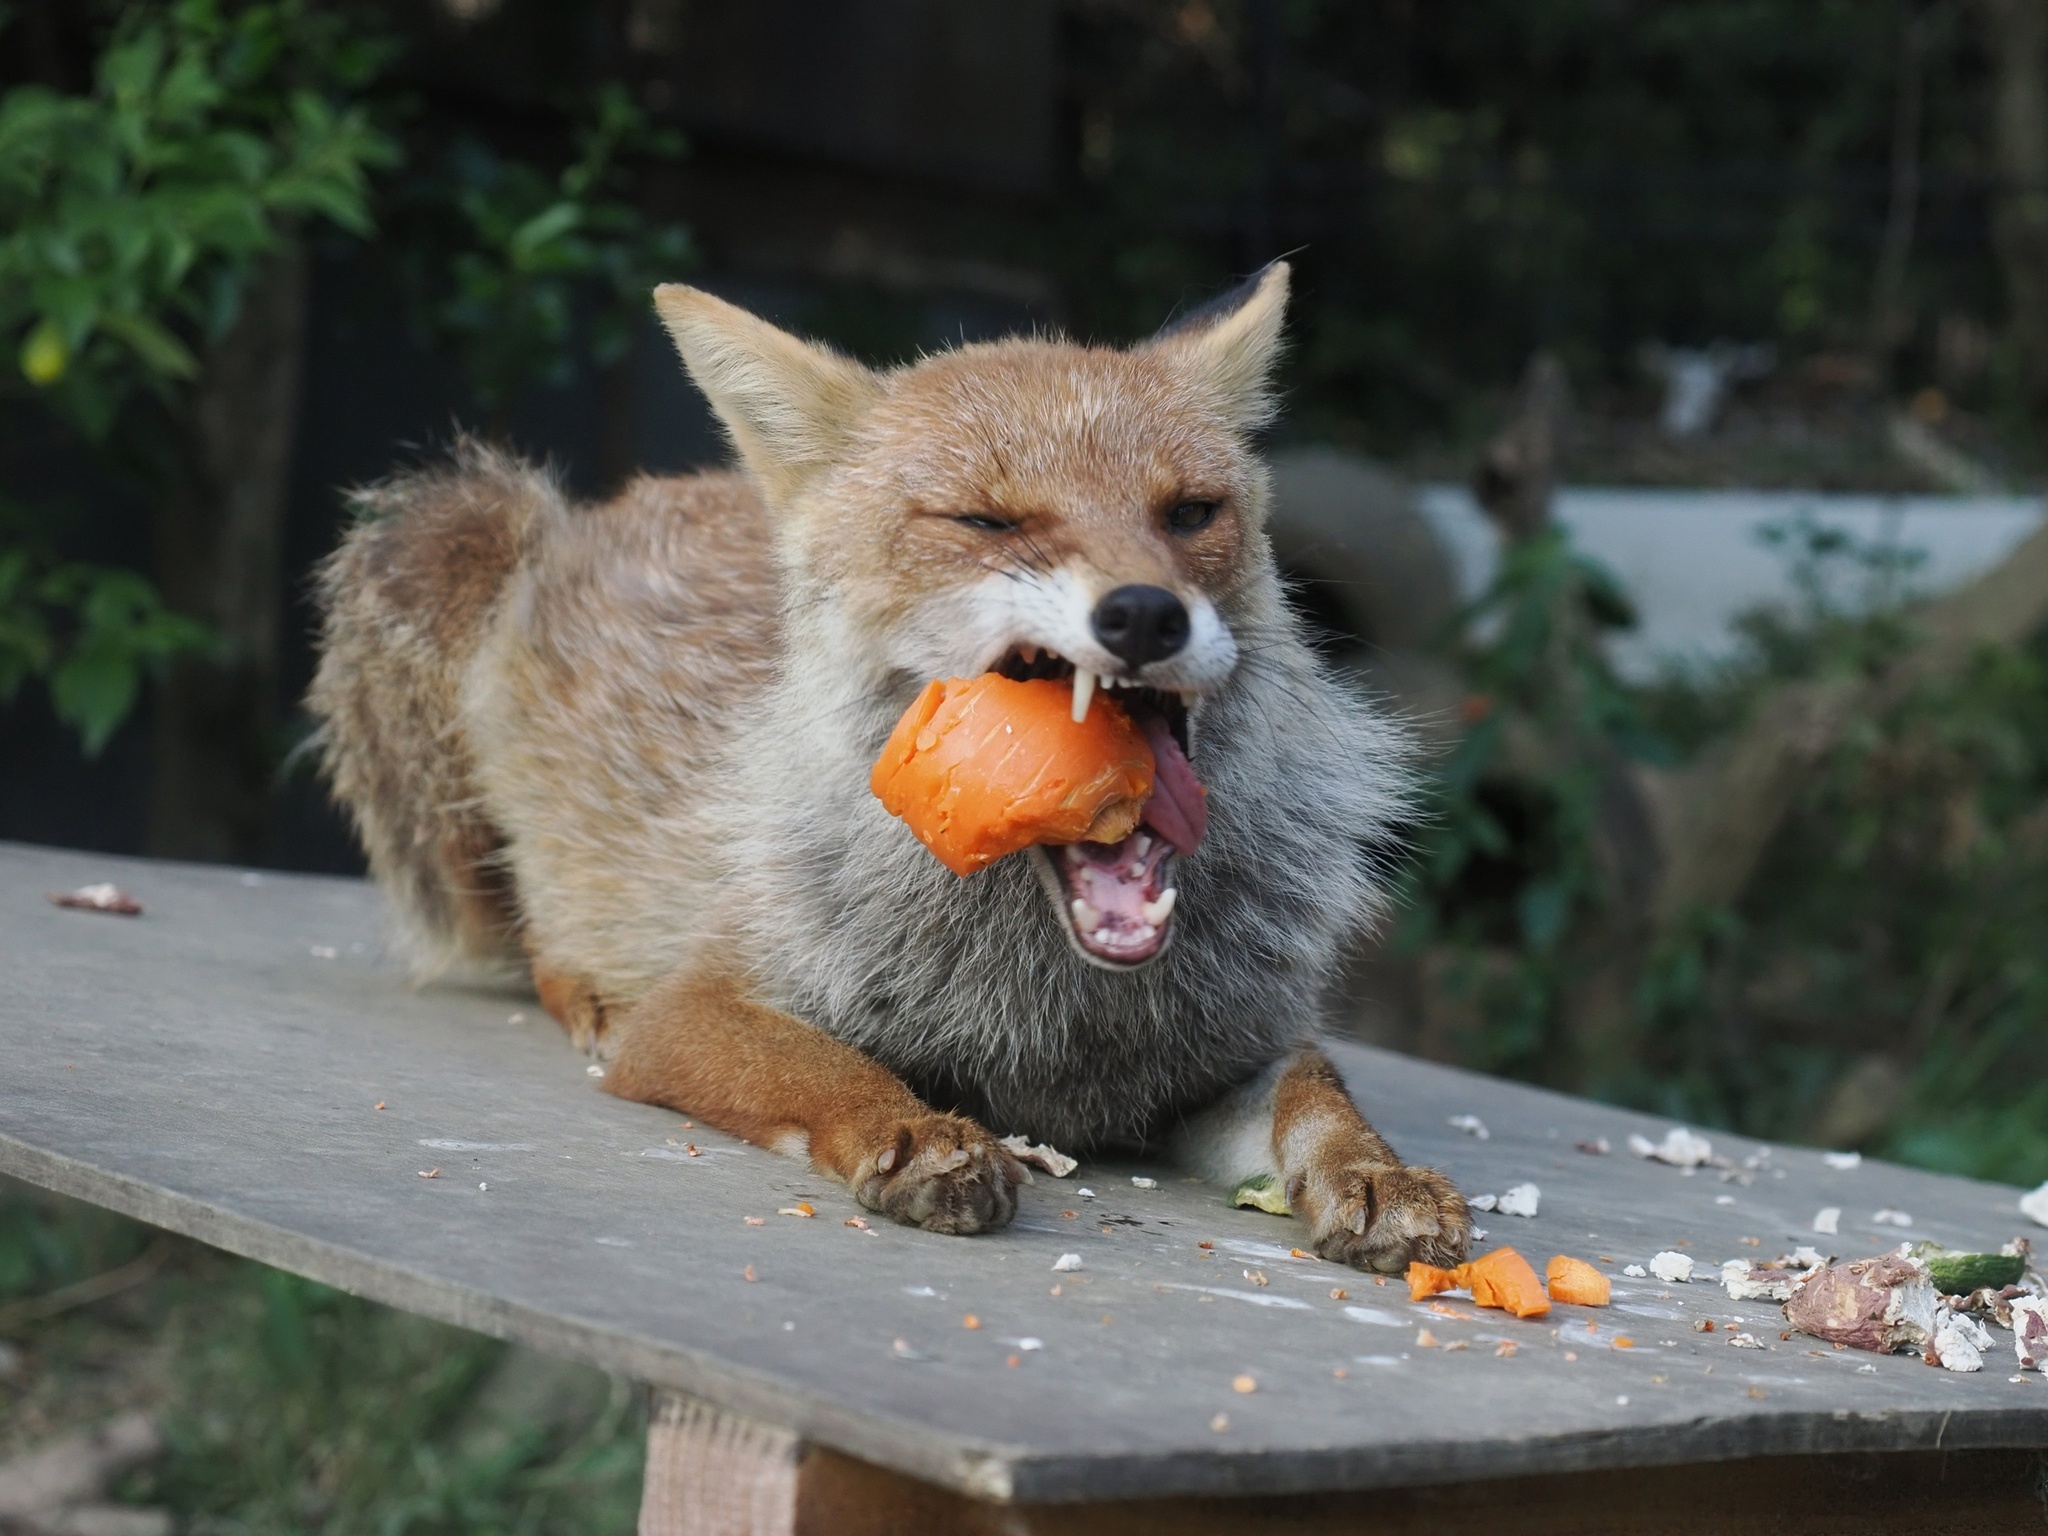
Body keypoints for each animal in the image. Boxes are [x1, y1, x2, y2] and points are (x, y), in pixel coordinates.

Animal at [307, 262, 1474, 1277]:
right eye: (987, 520)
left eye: (1191, 513)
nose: (1144, 613)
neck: (1053, 1008)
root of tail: (588, 516)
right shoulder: (700, 1008)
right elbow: (827, 1067)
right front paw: (912, 1130)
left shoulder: (1229, 1055)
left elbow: (1321, 1099)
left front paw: (1378, 1176)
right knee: (534, 929)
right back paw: (585, 986)